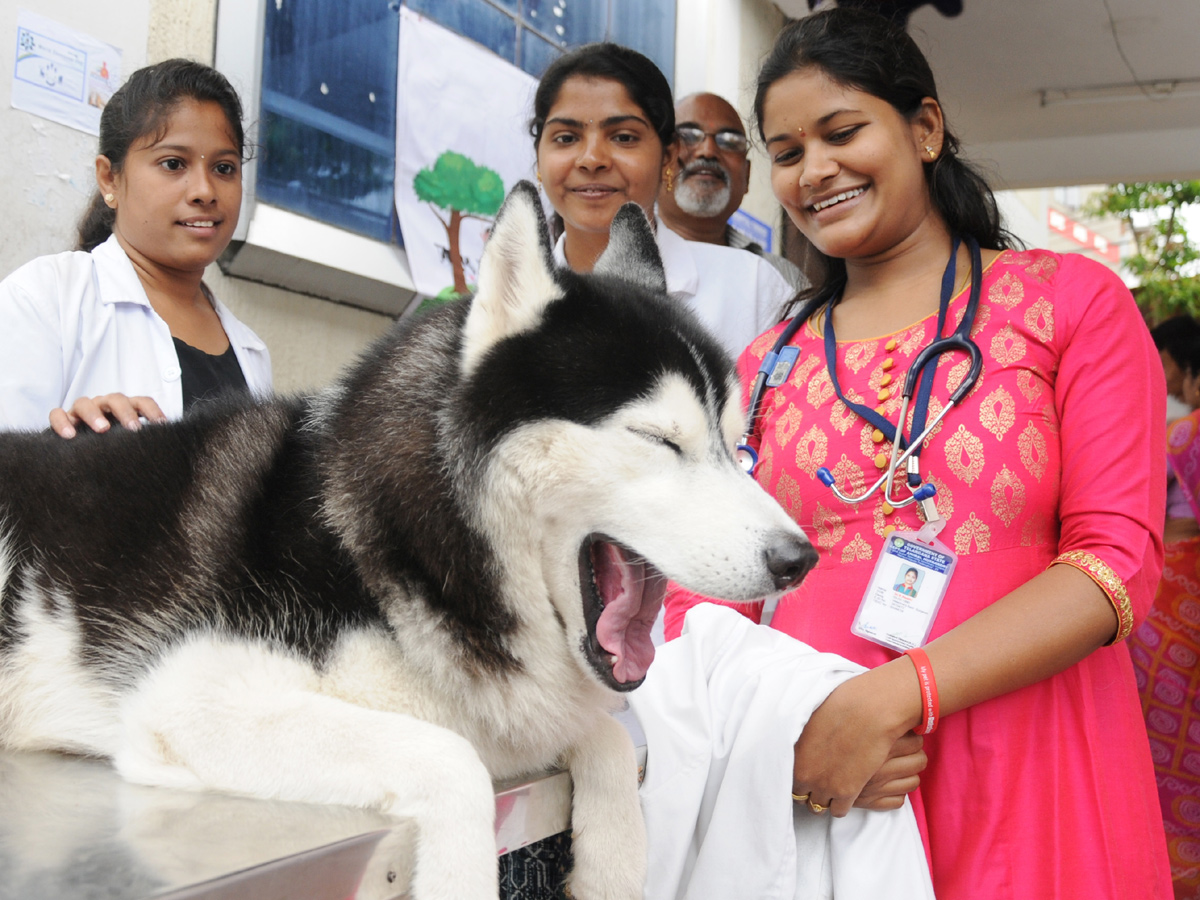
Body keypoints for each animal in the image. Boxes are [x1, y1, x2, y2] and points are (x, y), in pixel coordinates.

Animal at [0, 184, 816, 900]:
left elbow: (609, 742)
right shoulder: (191, 702)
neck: (418, 541)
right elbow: (454, 764)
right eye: (658, 439)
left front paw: (612, 868)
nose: (798, 560)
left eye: (736, 444)